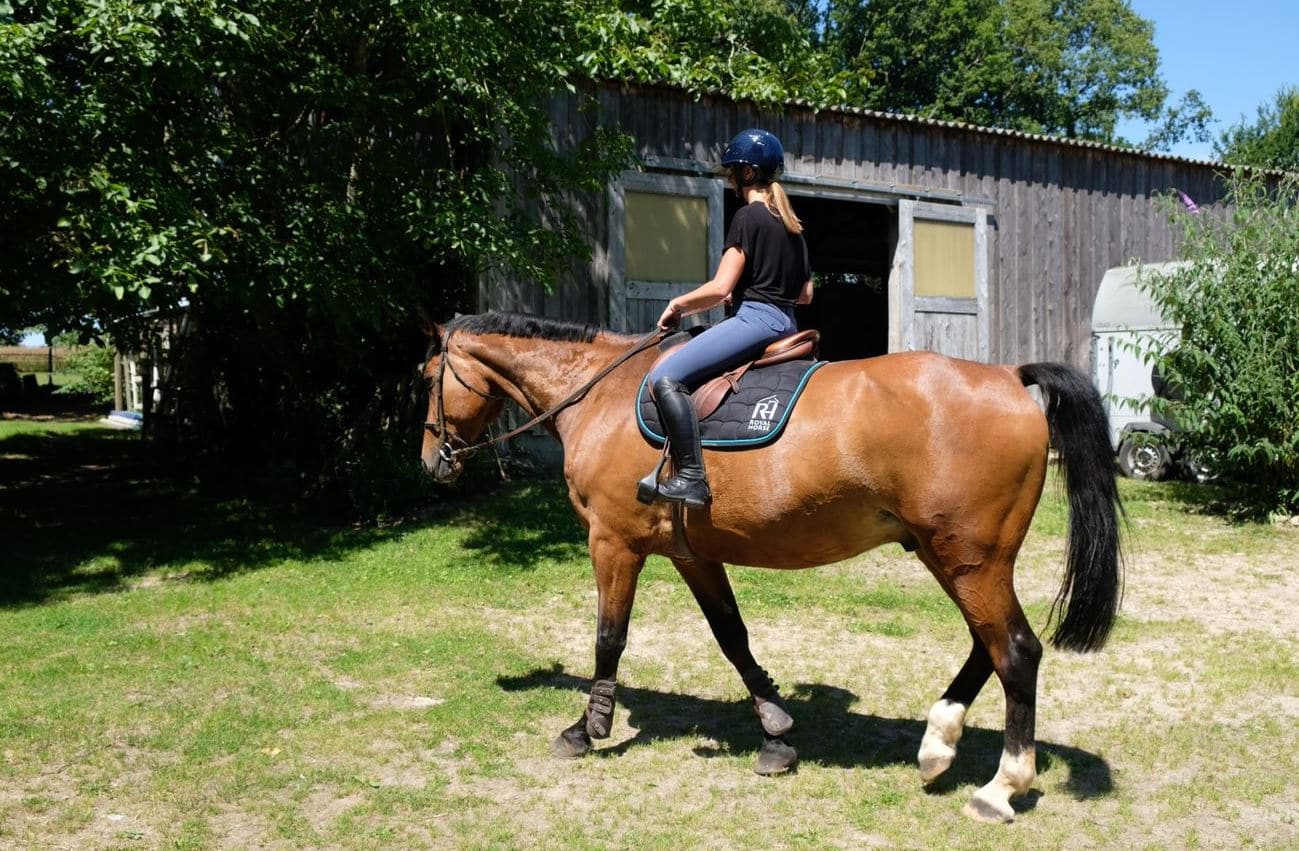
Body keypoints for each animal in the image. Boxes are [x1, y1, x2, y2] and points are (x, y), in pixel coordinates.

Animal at [420, 309, 1122, 821]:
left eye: (426, 377)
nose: (433, 462)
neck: (604, 395)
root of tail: (1009, 376)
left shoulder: (613, 544)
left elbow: (609, 638)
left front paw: (586, 728)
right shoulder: (693, 554)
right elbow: (732, 636)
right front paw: (777, 732)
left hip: (968, 557)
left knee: (1016, 651)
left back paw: (1000, 787)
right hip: (952, 555)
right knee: (989, 645)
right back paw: (937, 745)